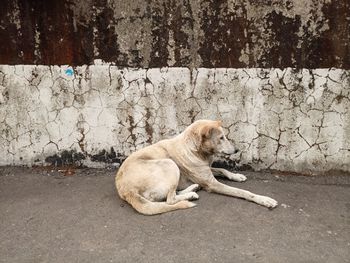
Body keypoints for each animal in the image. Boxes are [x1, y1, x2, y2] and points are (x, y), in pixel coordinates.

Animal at [116, 120, 278, 216]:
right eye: (221, 138)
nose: (237, 150)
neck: (195, 150)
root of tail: (126, 190)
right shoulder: (212, 184)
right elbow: (244, 192)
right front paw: (264, 200)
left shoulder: (207, 171)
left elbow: (223, 170)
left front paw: (236, 176)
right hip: (169, 164)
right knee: (170, 200)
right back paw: (190, 194)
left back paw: (193, 189)